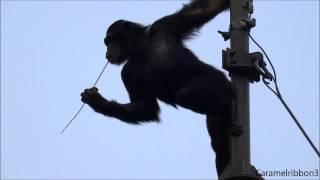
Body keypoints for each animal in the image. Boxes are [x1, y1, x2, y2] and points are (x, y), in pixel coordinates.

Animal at [80, 0, 240, 176]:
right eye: (107, 42)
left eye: (112, 39)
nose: (108, 49)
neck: (141, 49)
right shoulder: (127, 74)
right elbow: (146, 107)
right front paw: (97, 102)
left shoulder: (165, 25)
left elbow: (205, 8)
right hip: (213, 116)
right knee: (219, 146)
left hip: (219, 80)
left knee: (186, 95)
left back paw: (227, 109)